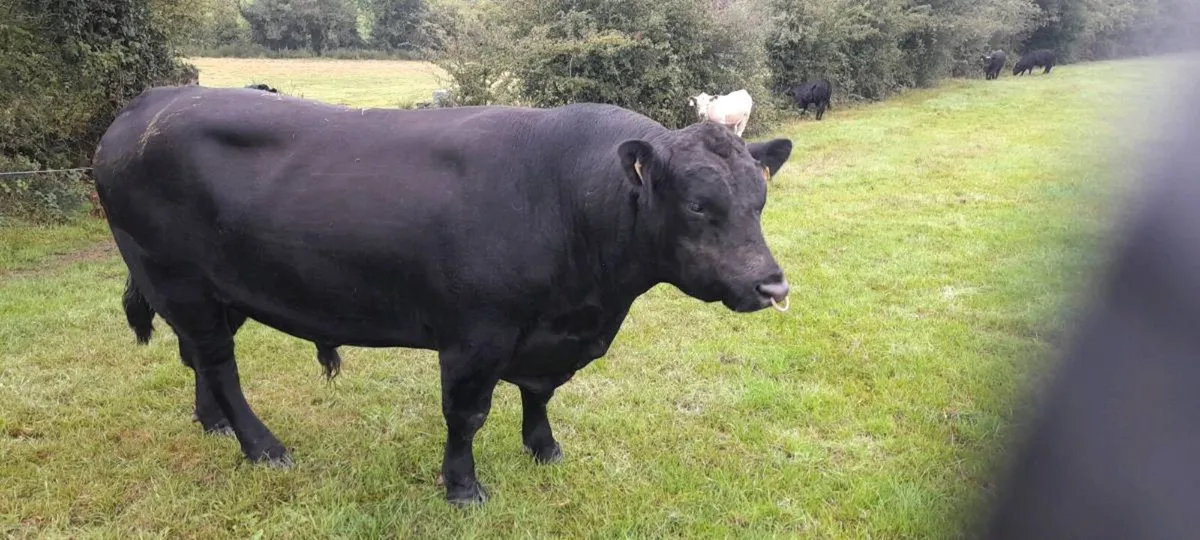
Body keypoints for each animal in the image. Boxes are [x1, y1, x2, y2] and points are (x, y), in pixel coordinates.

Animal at [92, 85, 794, 506]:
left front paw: (544, 449)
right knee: (218, 363)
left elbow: (539, 395)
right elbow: (466, 415)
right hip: (178, 281)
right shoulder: (475, 336)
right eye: (699, 204)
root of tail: (150, 104)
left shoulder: (547, 336)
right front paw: (463, 488)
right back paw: (263, 448)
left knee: (198, 358)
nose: (772, 284)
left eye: (760, 198)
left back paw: (211, 422)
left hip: (216, 291)